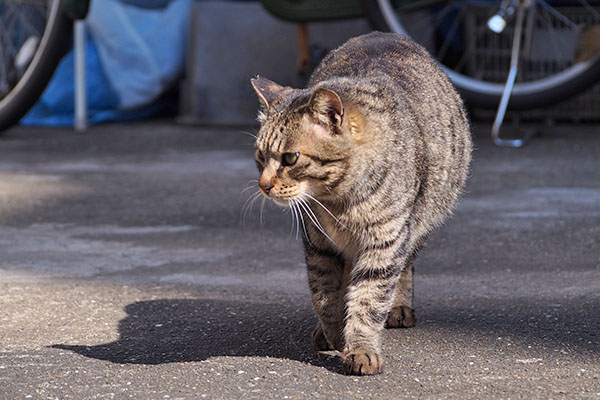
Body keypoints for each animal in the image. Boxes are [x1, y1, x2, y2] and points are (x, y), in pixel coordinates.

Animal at [250, 32, 474, 376]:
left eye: (290, 158)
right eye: (261, 156)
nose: (264, 185)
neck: (338, 203)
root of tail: (384, 34)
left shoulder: (386, 240)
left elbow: (369, 298)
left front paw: (360, 349)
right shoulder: (318, 243)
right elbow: (324, 294)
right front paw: (333, 332)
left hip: (421, 222)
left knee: (404, 267)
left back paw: (399, 307)